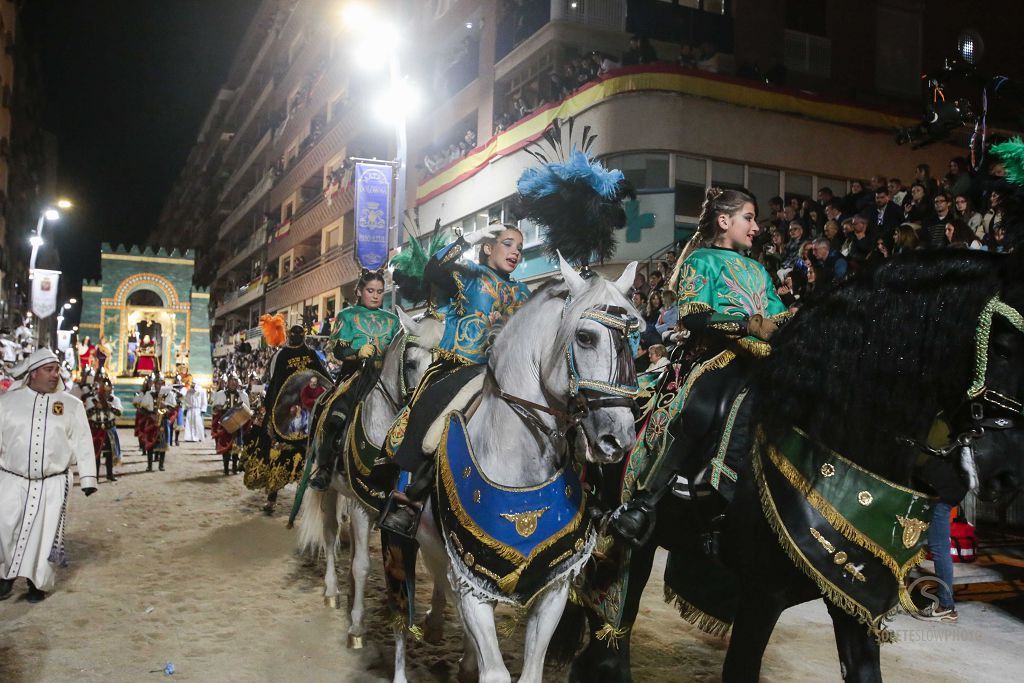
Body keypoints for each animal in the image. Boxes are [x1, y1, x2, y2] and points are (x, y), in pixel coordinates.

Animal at [296, 313, 440, 651]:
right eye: (411, 362)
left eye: (438, 361)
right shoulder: (362, 508)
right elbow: (362, 565)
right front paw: (357, 629)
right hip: (331, 491)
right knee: (331, 535)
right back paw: (333, 593)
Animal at [393, 259, 638, 683]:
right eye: (585, 337)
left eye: (630, 341)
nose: (617, 438)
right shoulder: (470, 582)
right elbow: (495, 671)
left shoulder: (554, 588)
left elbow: (530, 671)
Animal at [565, 252, 1024, 683]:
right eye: (1002, 348)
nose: (1007, 473)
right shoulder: (761, 593)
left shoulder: (851, 595)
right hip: (628, 533)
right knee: (616, 620)